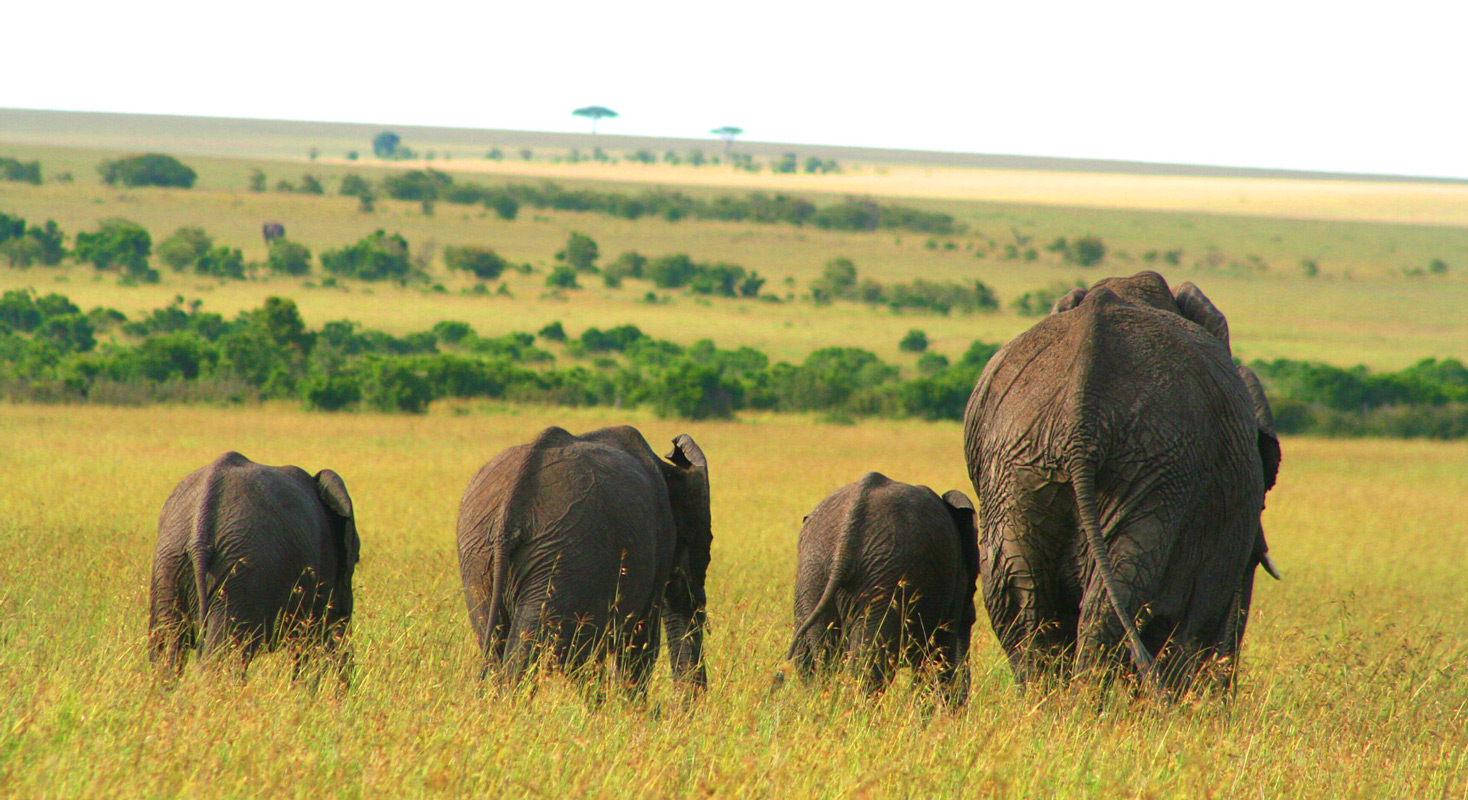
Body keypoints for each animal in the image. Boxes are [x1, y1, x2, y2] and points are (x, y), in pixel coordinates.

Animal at [148, 451, 360, 681]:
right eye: (356, 559)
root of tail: (200, 532)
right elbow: (312, 642)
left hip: (171, 563)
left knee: (167, 649)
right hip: (243, 576)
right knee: (224, 655)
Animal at [456, 426, 712, 694]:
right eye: (704, 537)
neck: (668, 469)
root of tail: (509, 513)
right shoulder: (659, 540)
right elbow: (640, 641)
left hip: (480, 556)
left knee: (497, 644)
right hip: (563, 559)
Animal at [783, 473, 979, 705]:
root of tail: (845, 539)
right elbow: (937, 658)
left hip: (815, 572)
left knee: (820, 660)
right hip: (884, 577)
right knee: (868, 664)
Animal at [962, 271, 1280, 694]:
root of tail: (1082, 414)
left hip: (1023, 466)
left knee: (1018, 595)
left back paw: (1051, 705)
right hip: (1152, 468)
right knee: (1117, 595)